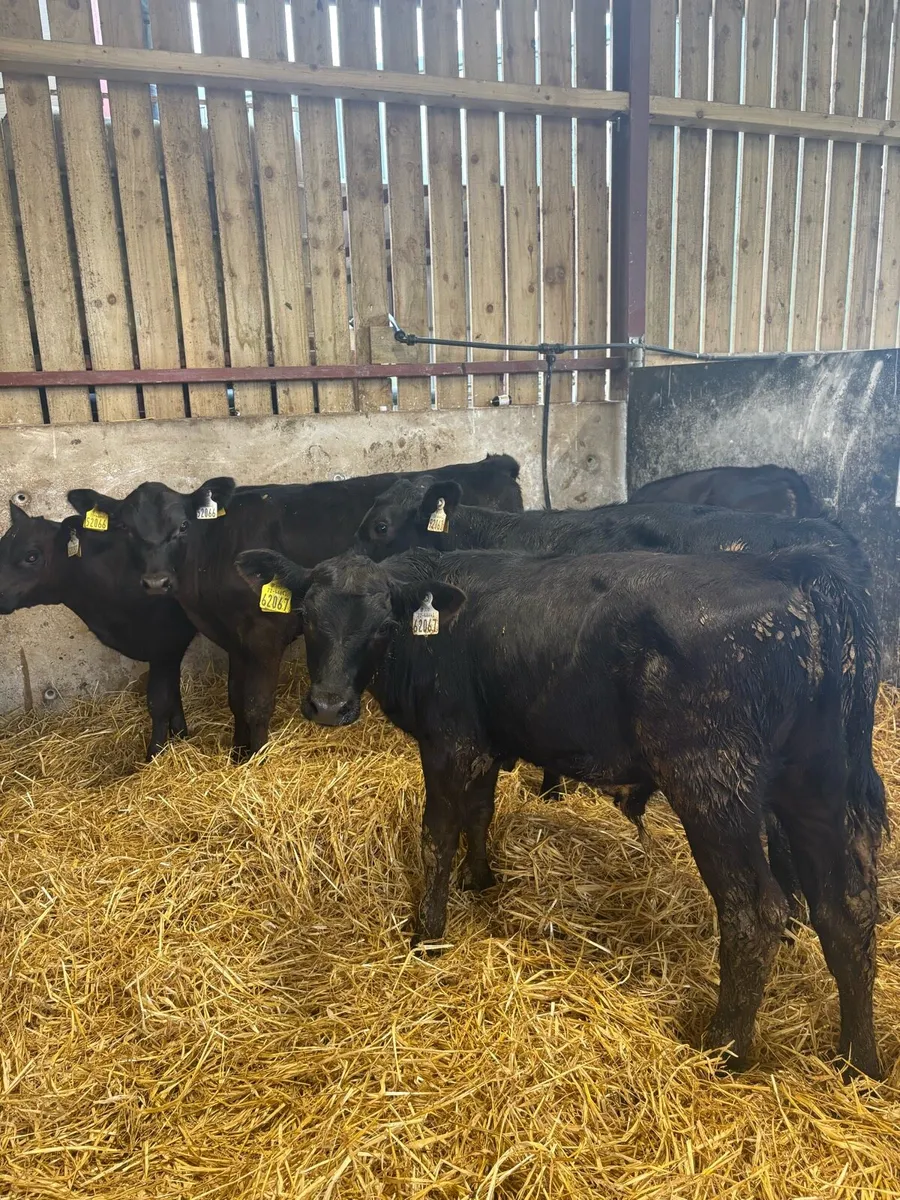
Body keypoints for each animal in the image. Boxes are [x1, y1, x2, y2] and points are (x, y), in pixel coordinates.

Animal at [0, 503, 196, 759]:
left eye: (31, 556)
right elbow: (174, 695)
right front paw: (182, 737)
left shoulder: (167, 644)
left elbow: (160, 701)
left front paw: (155, 755)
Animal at [67, 456, 522, 760]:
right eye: (126, 529)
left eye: (182, 526)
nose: (156, 582)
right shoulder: (233, 639)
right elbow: (235, 699)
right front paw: (237, 755)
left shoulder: (264, 634)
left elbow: (256, 703)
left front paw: (255, 761)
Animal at [235, 543, 886, 1080]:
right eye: (306, 616)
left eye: (384, 626)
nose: (328, 705)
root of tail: (795, 573)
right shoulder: (487, 741)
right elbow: (480, 812)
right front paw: (481, 880)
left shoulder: (450, 742)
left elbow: (436, 834)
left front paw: (426, 936)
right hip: (815, 784)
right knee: (846, 908)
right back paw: (860, 1063)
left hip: (714, 785)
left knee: (756, 910)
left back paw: (722, 1049)